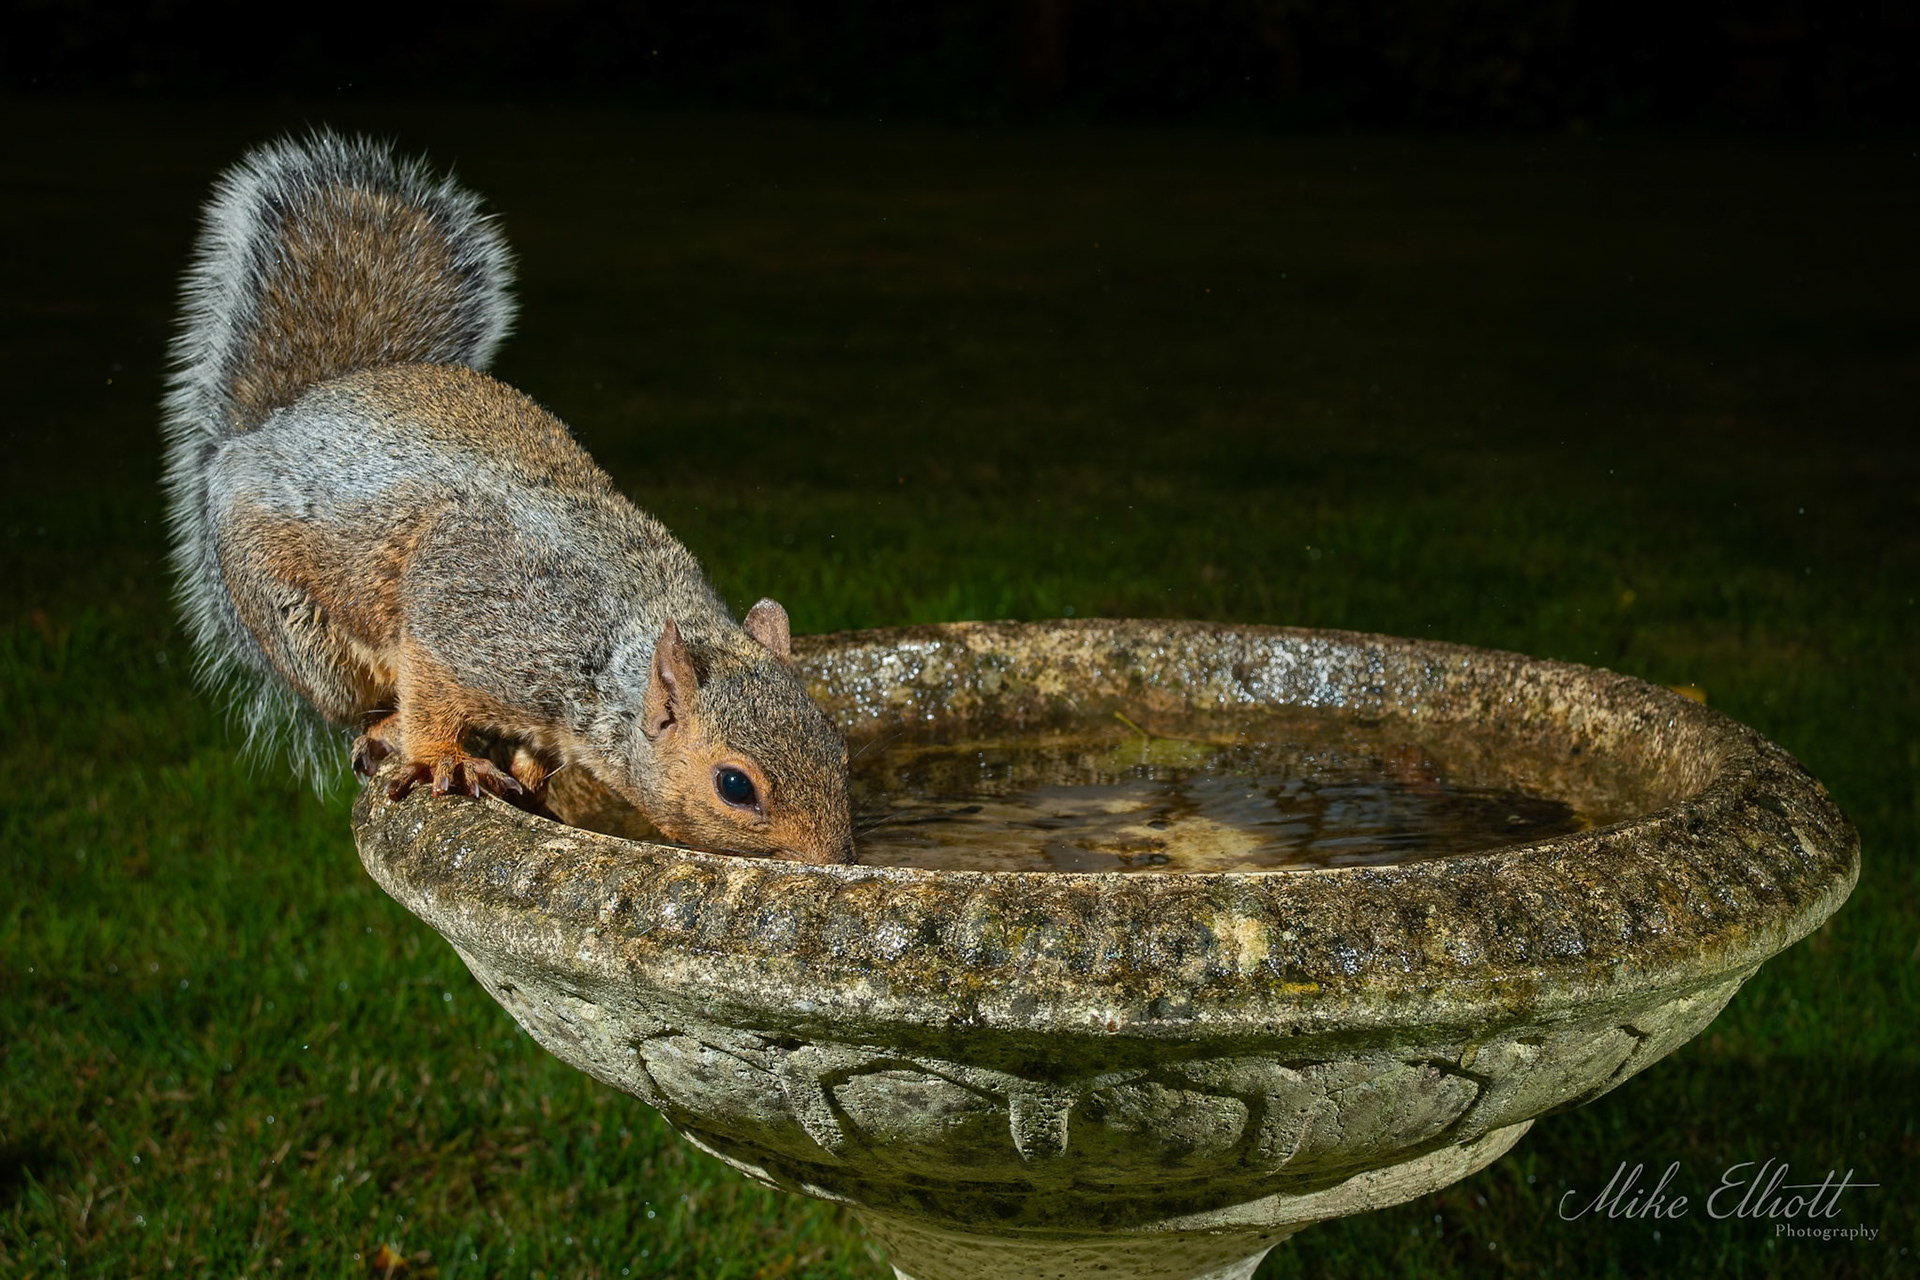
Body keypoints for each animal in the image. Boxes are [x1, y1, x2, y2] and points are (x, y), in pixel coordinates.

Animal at [161, 131, 855, 866]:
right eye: (735, 785)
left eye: (838, 742)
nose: (838, 861)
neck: (608, 650)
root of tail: (270, 427)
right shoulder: (465, 624)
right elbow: (432, 694)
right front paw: (440, 757)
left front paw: (529, 768)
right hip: (296, 623)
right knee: (353, 702)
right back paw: (386, 732)